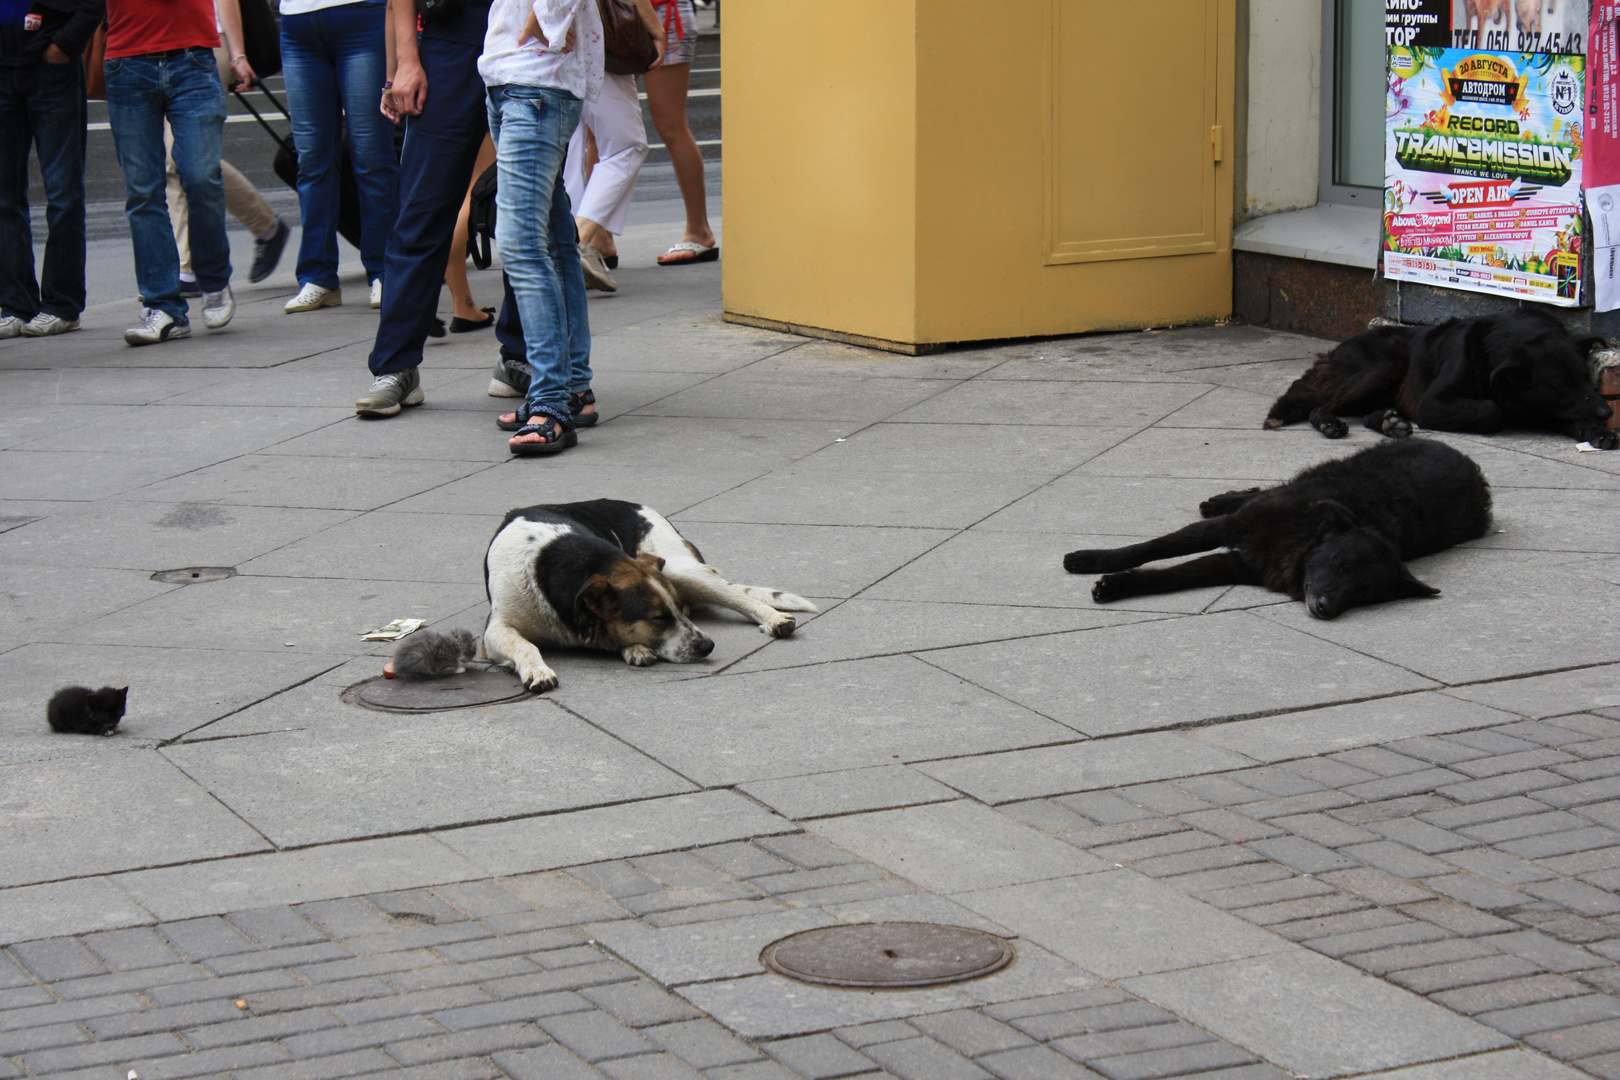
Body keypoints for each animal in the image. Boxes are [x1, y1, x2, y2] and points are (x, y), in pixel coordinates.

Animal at [476, 501, 810, 693]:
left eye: (677, 610)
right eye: (658, 617)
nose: (708, 646)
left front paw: (633, 647)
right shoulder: (495, 630)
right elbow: (525, 644)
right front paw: (538, 669)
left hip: (678, 567)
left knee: (743, 598)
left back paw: (774, 619)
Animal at [1062, 440, 1490, 621]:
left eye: (1364, 592)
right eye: (1338, 564)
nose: (1325, 609)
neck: (1299, 538)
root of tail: (1471, 464)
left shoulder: (1237, 565)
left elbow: (1171, 576)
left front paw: (1120, 585)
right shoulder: (1231, 528)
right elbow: (1152, 548)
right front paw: (1091, 560)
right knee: (1260, 490)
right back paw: (1222, 498)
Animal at [1270, 310, 1613, 450]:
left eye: (1586, 378)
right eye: (1562, 384)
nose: (1607, 413)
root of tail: (1331, 354)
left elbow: (1574, 416)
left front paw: (1598, 431)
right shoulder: (1432, 404)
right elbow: (1492, 410)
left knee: (1365, 413)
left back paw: (1388, 422)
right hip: (1386, 363)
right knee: (1322, 407)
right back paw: (1332, 423)